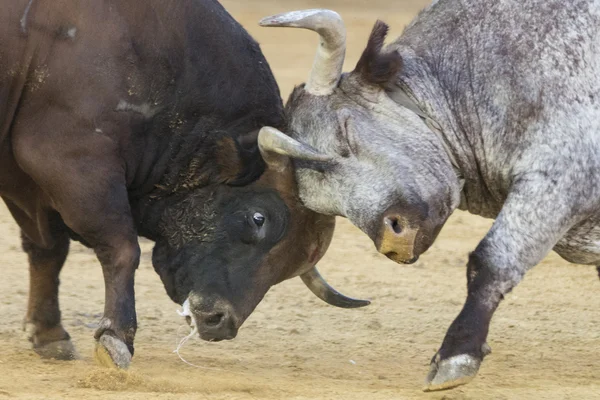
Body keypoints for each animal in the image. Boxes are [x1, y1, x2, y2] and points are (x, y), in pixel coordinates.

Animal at [255, 0, 600, 392]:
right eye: (325, 204)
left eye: (344, 133)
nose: (393, 239)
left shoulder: (560, 178)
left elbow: (491, 260)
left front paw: (456, 355)